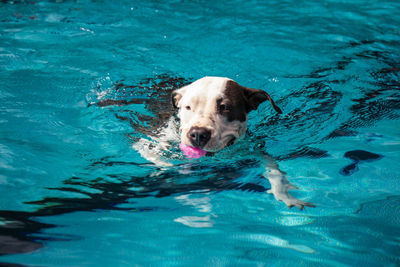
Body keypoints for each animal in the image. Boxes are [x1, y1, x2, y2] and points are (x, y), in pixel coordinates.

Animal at [134, 76, 316, 210]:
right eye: (188, 107)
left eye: (225, 107)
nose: (198, 134)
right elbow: (158, 156)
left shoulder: (251, 148)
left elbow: (275, 171)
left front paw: (285, 195)